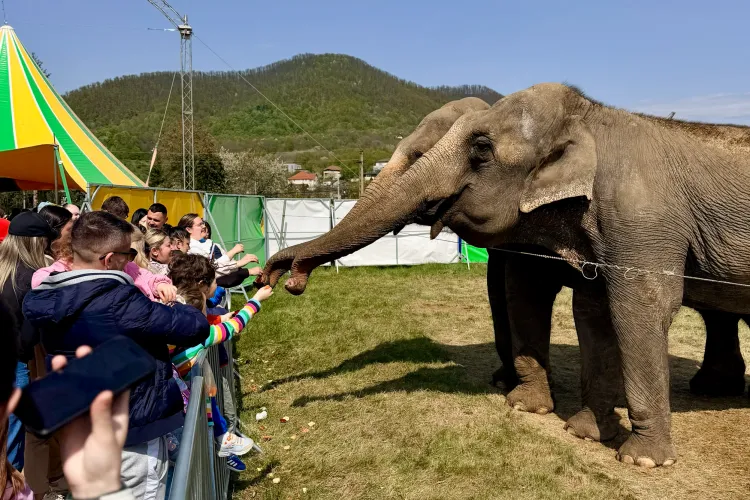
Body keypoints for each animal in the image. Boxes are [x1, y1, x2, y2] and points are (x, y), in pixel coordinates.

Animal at [259, 83, 750, 467]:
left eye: (480, 148)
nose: (282, 277)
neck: (591, 116)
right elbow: (569, 303)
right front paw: (559, 421)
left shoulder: (641, 220)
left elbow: (638, 306)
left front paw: (640, 460)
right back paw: (714, 389)